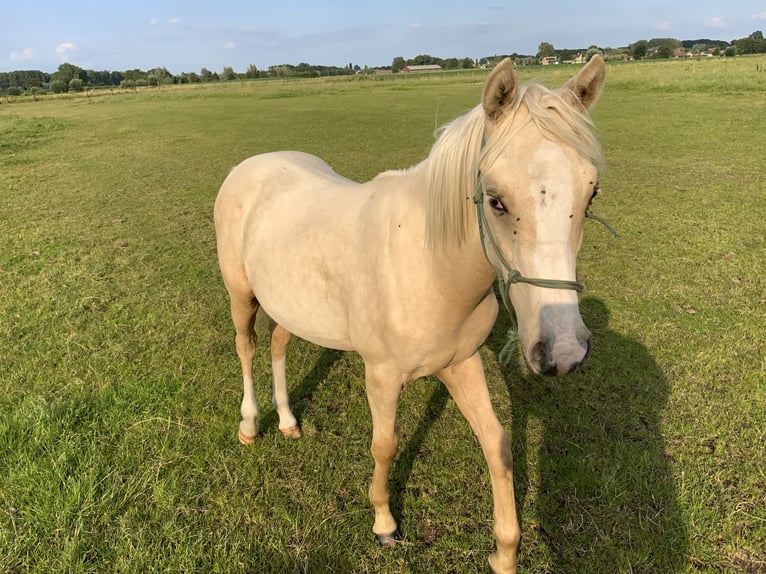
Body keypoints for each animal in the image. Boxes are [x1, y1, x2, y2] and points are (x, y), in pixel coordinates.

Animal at [214, 55, 608, 574]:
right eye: (497, 200)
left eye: (591, 194)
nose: (562, 352)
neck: (429, 266)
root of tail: (251, 165)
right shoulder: (381, 375)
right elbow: (385, 445)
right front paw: (384, 524)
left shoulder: (462, 364)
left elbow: (497, 444)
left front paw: (504, 552)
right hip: (241, 296)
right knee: (247, 349)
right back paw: (250, 426)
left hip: (289, 305)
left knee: (278, 345)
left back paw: (287, 421)